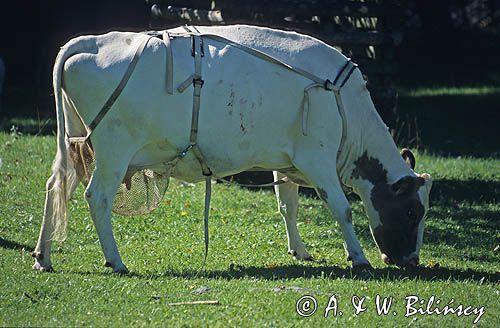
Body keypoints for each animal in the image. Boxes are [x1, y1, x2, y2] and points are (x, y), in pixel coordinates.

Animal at [33, 25, 434, 274]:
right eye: (412, 211)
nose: (412, 261)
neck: (348, 110)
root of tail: (91, 41)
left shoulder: (286, 160)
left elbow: (287, 205)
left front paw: (299, 250)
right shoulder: (317, 157)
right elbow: (343, 209)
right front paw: (359, 257)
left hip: (75, 145)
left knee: (56, 187)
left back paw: (43, 256)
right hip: (113, 150)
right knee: (96, 196)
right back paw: (114, 260)